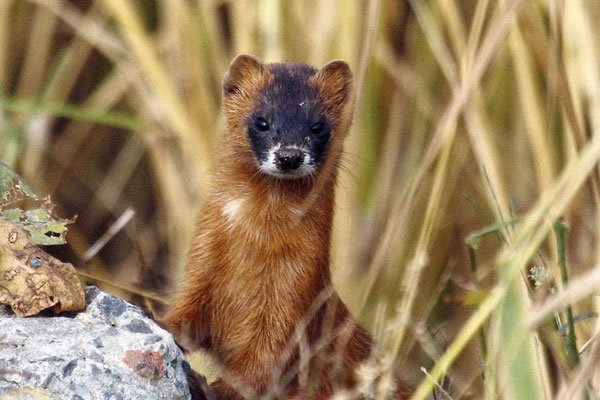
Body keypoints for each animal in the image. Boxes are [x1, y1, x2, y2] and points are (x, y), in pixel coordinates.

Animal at [159, 54, 412, 400]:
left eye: (318, 125)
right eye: (262, 121)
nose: (289, 155)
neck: (254, 240)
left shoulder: (296, 286)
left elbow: (265, 361)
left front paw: (211, 387)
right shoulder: (203, 259)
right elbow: (186, 317)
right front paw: (160, 323)